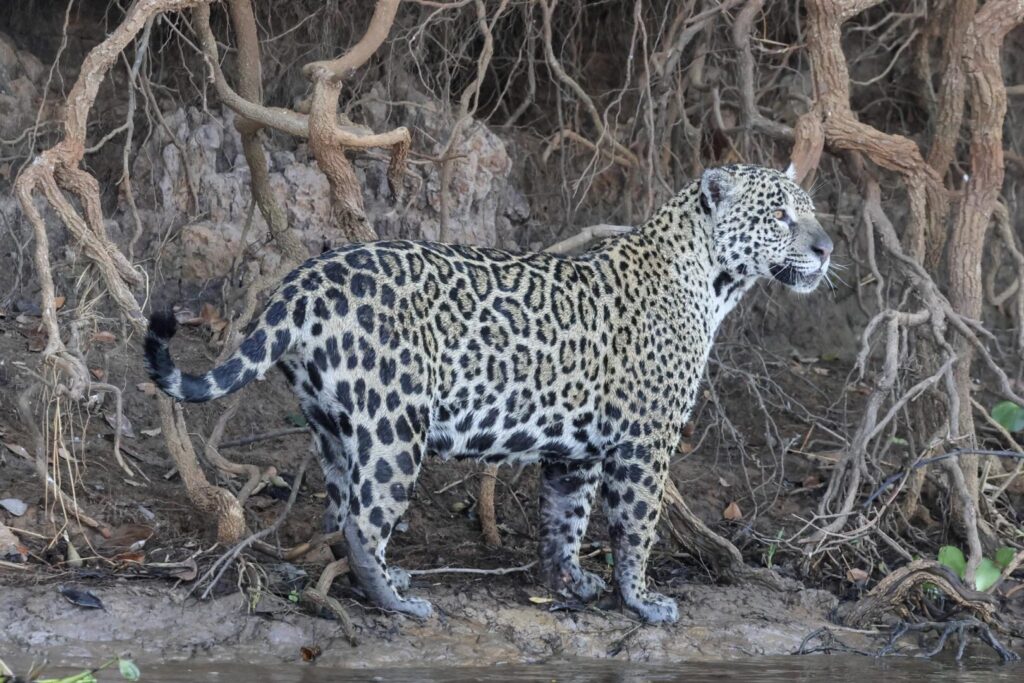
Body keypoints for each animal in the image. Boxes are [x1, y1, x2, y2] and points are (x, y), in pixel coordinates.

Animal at [144, 163, 832, 624]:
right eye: (780, 215)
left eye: (812, 211)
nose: (826, 248)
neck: (713, 282)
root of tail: (304, 279)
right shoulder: (647, 439)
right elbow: (637, 525)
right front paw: (641, 600)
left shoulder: (576, 450)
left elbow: (566, 520)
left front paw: (572, 584)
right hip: (396, 422)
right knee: (366, 519)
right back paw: (398, 600)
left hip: (333, 422)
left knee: (339, 508)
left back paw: (372, 573)